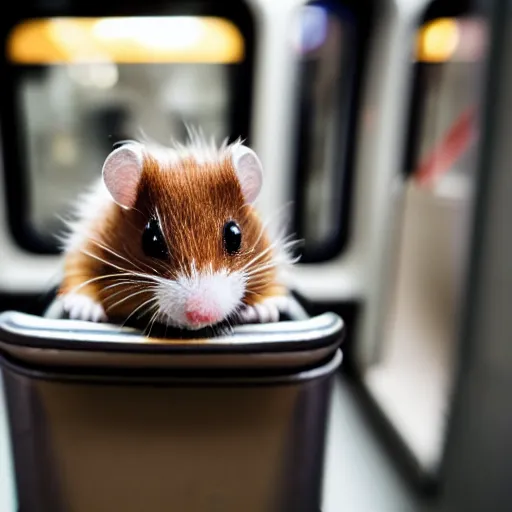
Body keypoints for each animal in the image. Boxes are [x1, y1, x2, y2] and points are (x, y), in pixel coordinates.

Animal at [57, 131, 300, 332]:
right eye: (151, 240)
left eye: (234, 236)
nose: (203, 316)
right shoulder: (86, 245)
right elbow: (78, 277)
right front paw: (85, 311)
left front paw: (265, 311)